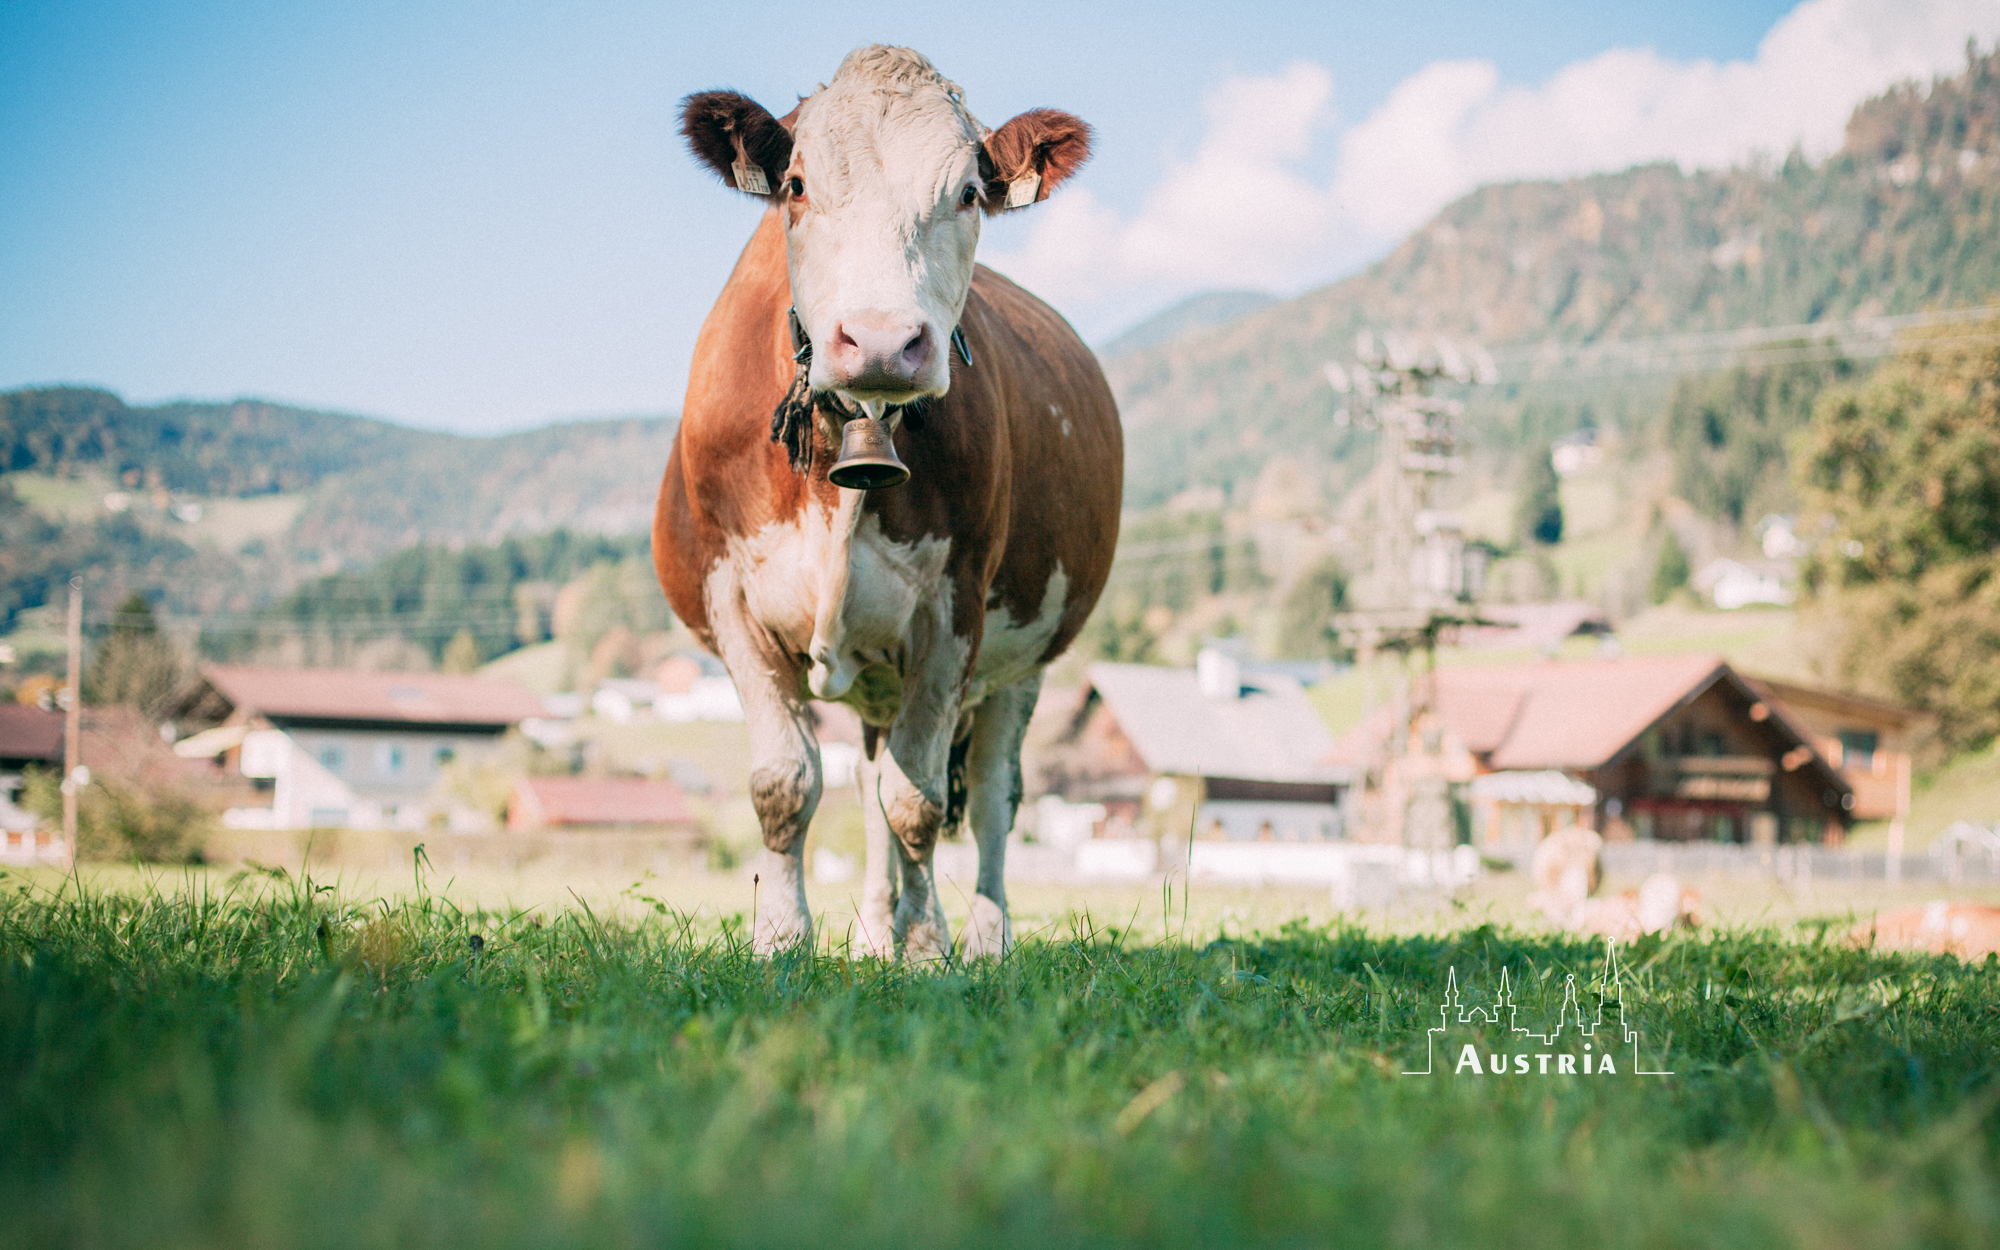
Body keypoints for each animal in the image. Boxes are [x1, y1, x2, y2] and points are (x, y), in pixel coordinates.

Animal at [660, 41, 1120, 956]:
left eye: (969, 192)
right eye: (797, 185)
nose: (879, 341)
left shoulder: (956, 608)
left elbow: (919, 802)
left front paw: (926, 947)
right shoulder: (731, 599)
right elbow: (786, 784)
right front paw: (782, 938)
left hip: (1025, 660)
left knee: (987, 795)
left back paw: (976, 935)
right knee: (874, 781)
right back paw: (876, 930)